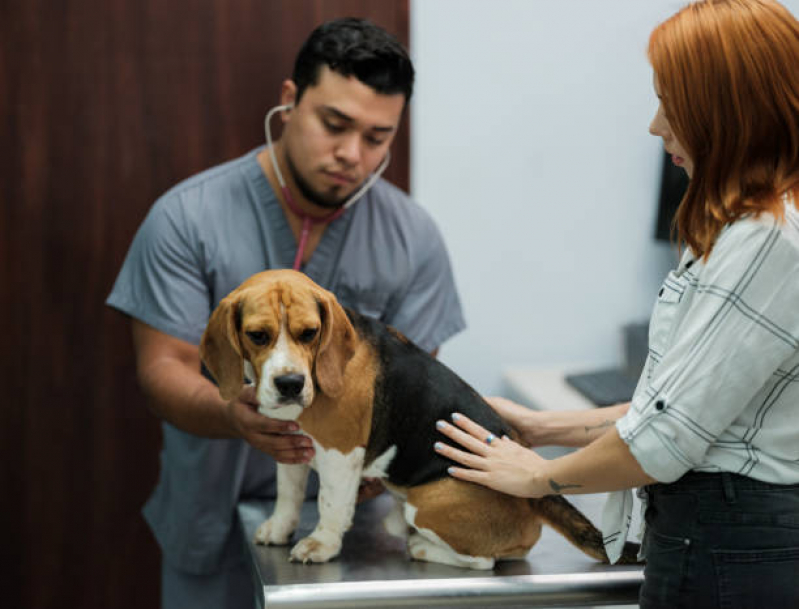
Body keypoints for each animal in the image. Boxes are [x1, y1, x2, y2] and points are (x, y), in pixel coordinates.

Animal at [200, 268, 636, 568]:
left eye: (309, 333)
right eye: (258, 336)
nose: (290, 383)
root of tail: (535, 497)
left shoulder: (340, 453)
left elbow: (329, 503)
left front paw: (321, 544)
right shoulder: (292, 445)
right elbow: (288, 494)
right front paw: (280, 528)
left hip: (426, 505)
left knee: (484, 561)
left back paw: (421, 547)